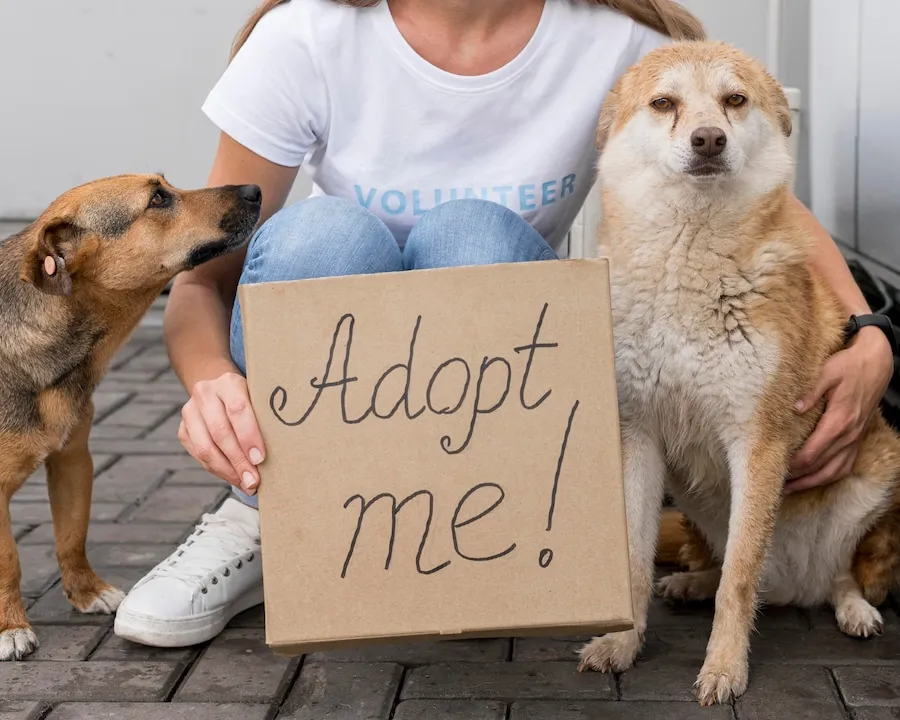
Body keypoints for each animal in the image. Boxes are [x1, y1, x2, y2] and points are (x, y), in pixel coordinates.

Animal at [0, 174, 262, 660]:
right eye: (157, 198)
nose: (255, 190)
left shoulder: (73, 459)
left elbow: (72, 535)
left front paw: (88, 593)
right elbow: (8, 559)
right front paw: (10, 627)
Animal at [572, 40, 900, 704]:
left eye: (735, 100)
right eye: (664, 103)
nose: (708, 139)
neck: (686, 262)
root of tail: (793, 586)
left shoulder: (758, 443)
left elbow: (740, 582)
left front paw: (725, 668)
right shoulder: (636, 437)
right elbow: (635, 561)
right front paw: (623, 644)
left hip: (877, 475)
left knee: (832, 576)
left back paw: (854, 609)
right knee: (722, 566)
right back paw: (689, 582)